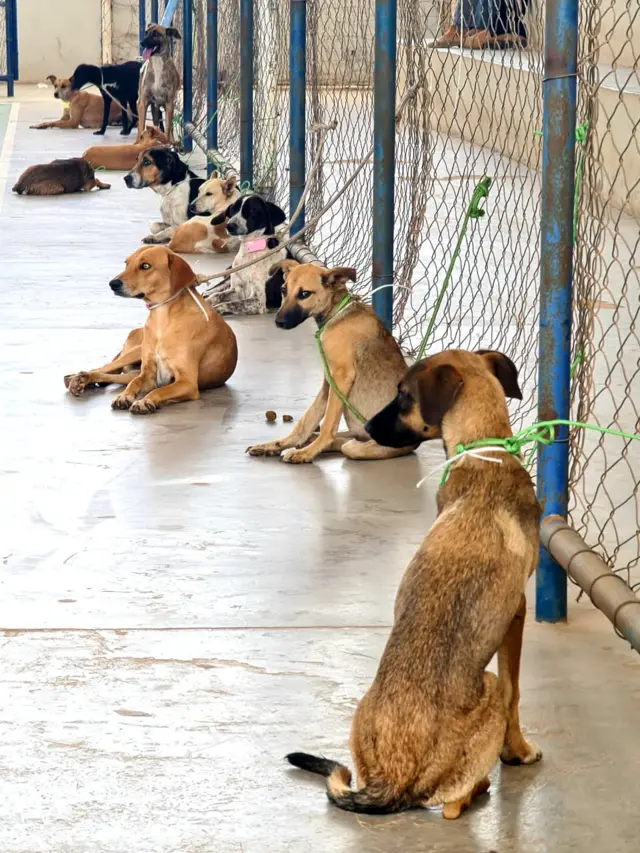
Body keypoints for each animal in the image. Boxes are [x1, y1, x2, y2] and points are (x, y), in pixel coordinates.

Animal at [63, 245, 239, 414]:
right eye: (127, 264)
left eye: (145, 266)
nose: (113, 284)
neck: (162, 317)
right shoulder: (147, 374)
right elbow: (135, 383)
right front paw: (124, 396)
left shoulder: (187, 382)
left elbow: (159, 390)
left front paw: (144, 401)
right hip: (135, 353)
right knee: (106, 368)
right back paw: (78, 377)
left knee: (114, 375)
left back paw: (82, 379)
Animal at [245, 260, 416, 462]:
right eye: (283, 290)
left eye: (304, 294)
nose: (279, 322)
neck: (336, 313)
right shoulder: (329, 382)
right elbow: (306, 422)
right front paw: (277, 444)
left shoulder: (341, 378)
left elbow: (327, 424)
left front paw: (308, 452)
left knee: (347, 446)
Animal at [288, 348, 544, 820]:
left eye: (403, 395)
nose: (367, 428)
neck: (482, 452)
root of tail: (394, 779)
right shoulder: (516, 613)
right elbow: (516, 692)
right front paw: (517, 751)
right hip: (486, 689)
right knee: (453, 805)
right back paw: (478, 789)